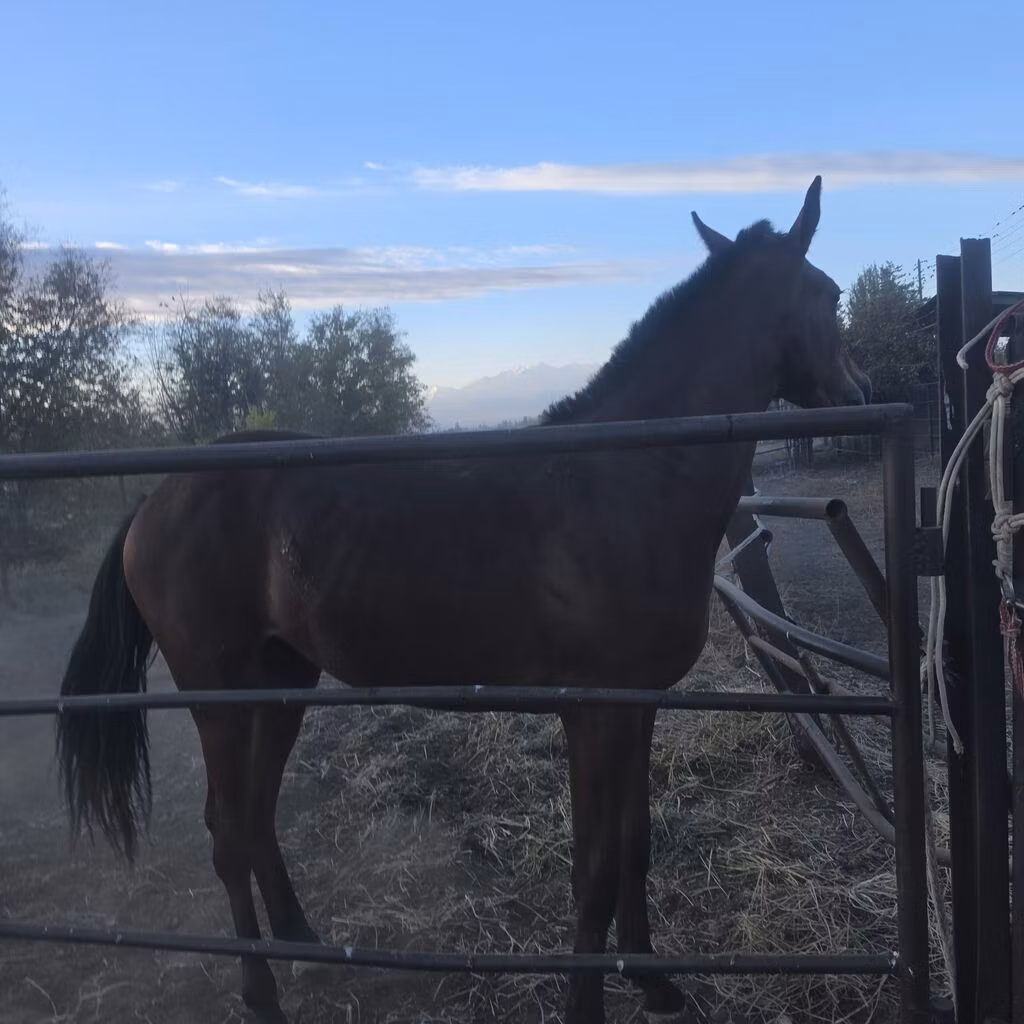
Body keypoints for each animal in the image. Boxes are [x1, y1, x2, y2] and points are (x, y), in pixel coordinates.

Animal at [55, 175, 868, 1024]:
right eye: (831, 293)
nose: (862, 388)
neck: (626, 481)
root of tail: (153, 501)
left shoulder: (635, 704)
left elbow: (635, 845)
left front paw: (655, 982)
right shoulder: (594, 712)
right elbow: (594, 867)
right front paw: (589, 1003)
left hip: (282, 683)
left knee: (252, 816)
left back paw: (305, 946)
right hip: (217, 693)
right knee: (225, 829)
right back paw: (261, 991)